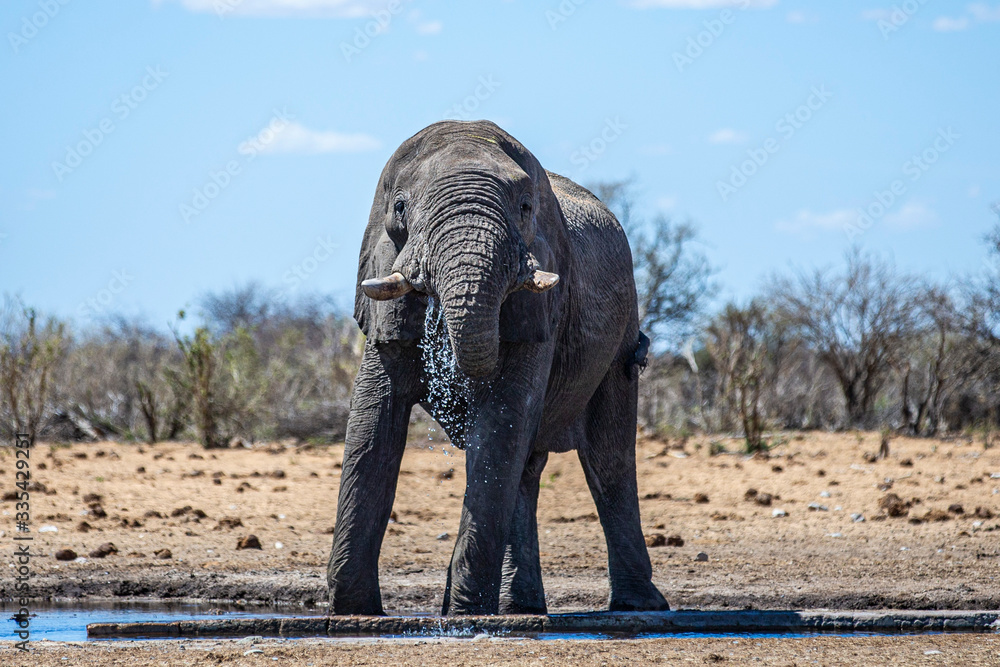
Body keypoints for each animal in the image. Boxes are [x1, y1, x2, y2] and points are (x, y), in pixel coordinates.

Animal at [327, 119, 669, 616]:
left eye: (525, 208)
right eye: (400, 207)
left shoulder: (543, 303)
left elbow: (503, 418)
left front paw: (463, 612)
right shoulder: (383, 301)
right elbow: (372, 425)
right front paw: (355, 610)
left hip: (623, 330)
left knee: (608, 458)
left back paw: (639, 606)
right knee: (527, 469)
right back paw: (518, 608)